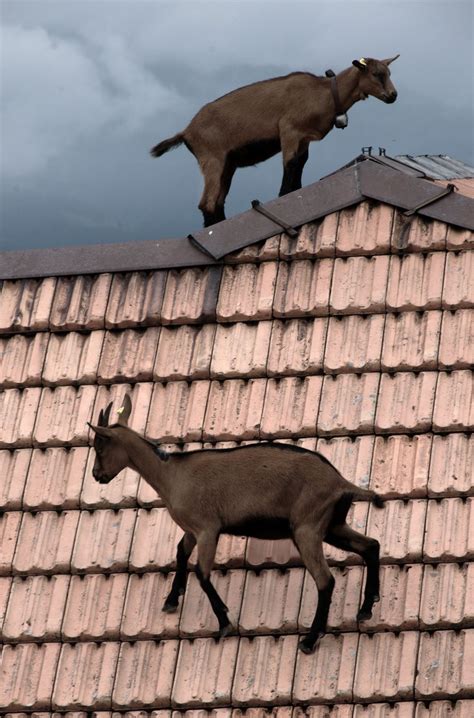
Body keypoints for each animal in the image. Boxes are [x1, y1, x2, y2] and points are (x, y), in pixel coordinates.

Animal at [88, 394, 384, 653]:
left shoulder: (207, 528)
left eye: (99, 444)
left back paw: (310, 641)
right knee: (371, 545)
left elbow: (202, 573)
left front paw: (224, 622)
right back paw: (366, 608)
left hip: (307, 527)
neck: (170, 474)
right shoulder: (192, 530)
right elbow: (181, 552)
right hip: (331, 525)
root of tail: (340, 482)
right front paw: (172, 600)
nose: (96, 475)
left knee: (325, 580)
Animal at [150, 55, 399, 228]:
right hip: (212, 157)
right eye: (376, 73)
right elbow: (290, 165)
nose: (393, 95)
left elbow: (300, 165)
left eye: (388, 72)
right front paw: (283, 197)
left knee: (217, 200)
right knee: (207, 202)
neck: (326, 94)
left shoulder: (304, 139)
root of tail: (187, 131)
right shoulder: (289, 131)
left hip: (227, 164)